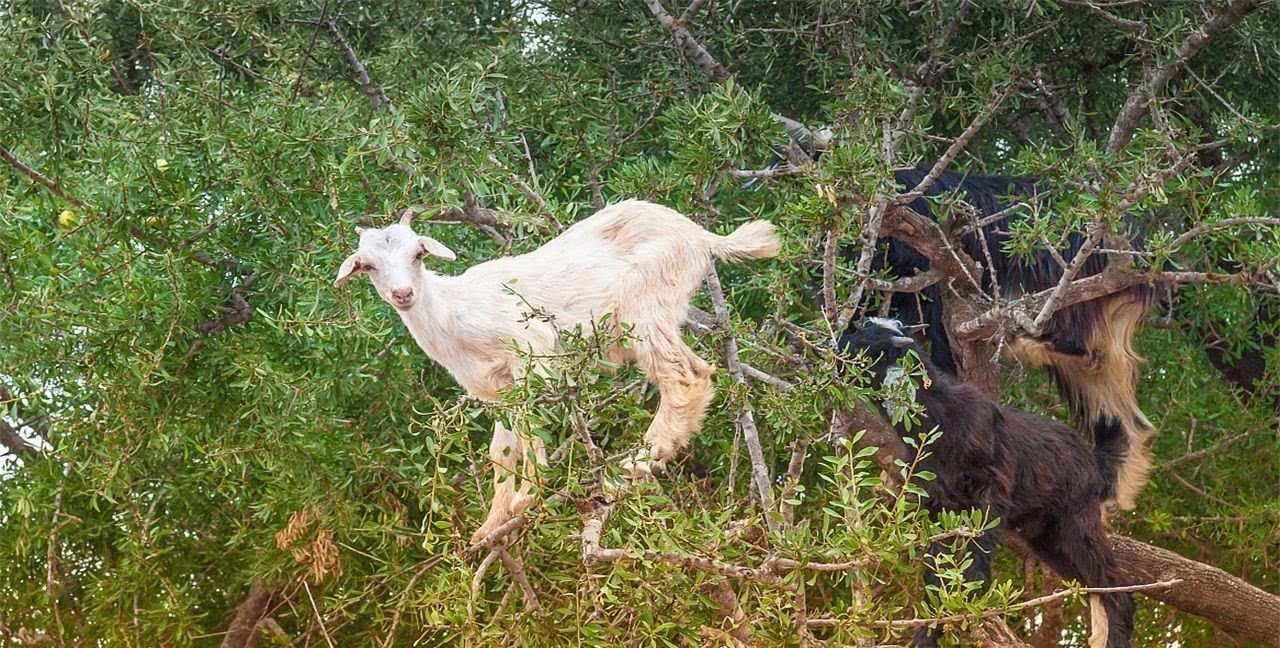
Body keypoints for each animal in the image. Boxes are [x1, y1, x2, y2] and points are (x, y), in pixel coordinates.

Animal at [335, 199, 773, 540]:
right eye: (367, 265)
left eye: (418, 254)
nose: (403, 293)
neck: (453, 312)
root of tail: (702, 238)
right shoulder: (495, 390)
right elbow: (500, 451)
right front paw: (492, 523)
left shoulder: (532, 350)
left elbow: (532, 429)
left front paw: (529, 494)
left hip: (644, 309)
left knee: (685, 376)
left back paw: (635, 463)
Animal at [844, 317, 1136, 648]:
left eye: (868, 343)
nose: (837, 347)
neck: (941, 418)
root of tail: (1092, 460)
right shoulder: (940, 502)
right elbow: (936, 569)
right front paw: (930, 630)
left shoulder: (992, 486)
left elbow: (979, 547)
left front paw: (972, 600)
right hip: (1046, 536)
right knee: (1095, 585)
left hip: (1077, 519)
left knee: (1115, 586)